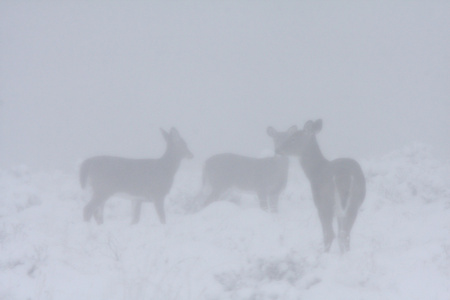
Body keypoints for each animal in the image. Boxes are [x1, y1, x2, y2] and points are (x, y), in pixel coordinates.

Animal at [276, 119, 368, 253]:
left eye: (293, 138)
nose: (278, 150)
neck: (315, 171)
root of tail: (343, 175)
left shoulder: (319, 203)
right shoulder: (340, 212)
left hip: (326, 202)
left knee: (330, 234)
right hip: (354, 203)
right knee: (344, 234)